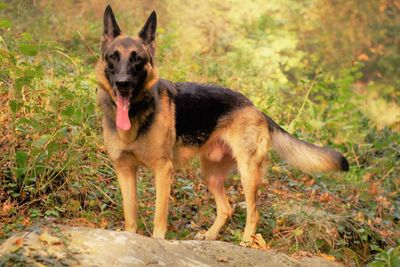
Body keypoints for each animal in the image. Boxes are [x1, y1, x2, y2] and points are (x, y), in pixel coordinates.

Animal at [95, 5, 348, 245]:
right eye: (113, 57)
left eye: (137, 59)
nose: (123, 84)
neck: (136, 115)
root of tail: (254, 107)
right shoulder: (125, 170)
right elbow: (130, 214)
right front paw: (129, 237)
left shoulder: (163, 170)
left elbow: (159, 215)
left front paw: (158, 241)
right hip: (211, 175)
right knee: (226, 208)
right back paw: (209, 235)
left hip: (248, 173)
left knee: (253, 212)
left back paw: (246, 242)